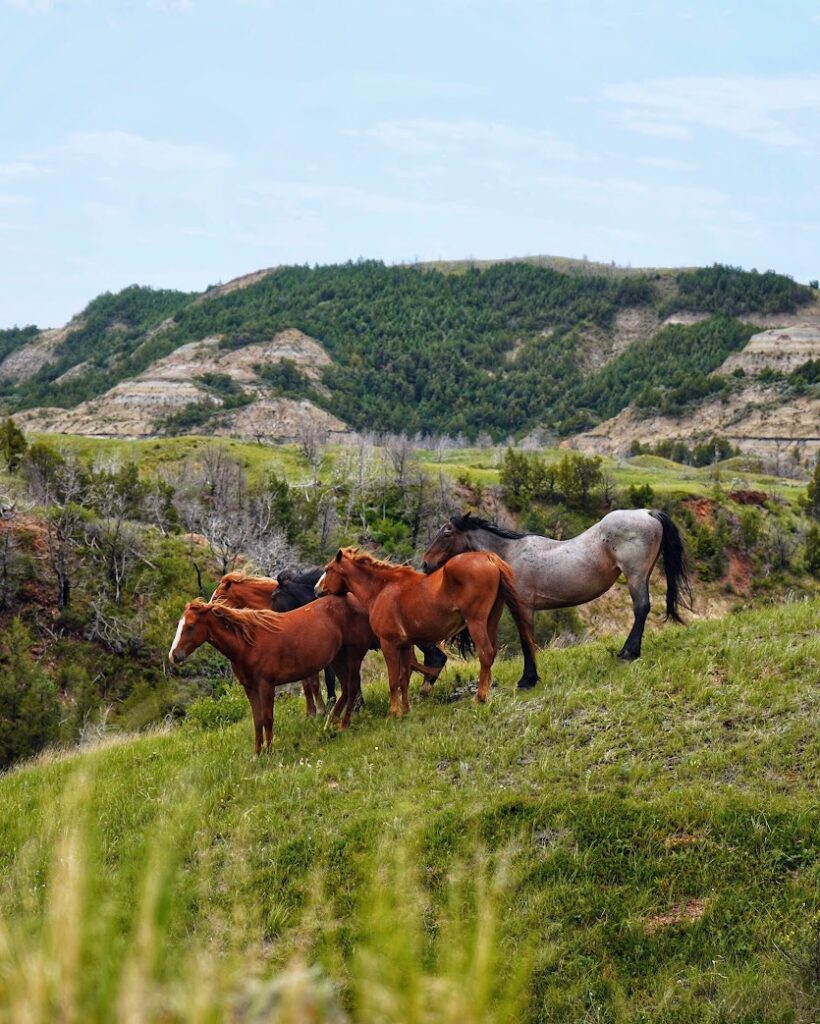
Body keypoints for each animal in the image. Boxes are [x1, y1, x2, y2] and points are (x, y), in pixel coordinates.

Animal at [169, 597, 372, 753]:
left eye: (190, 626)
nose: (174, 655)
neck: (248, 644)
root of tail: (353, 599)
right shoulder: (250, 688)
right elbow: (257, 719)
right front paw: (257, 753)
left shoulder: (266, 685)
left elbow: (267, 718)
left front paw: (269, 751)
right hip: (337, 658)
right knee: (346, 688)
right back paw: (330, 723)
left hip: (353, 655)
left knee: (352, 686)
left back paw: (343, 725)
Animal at [316, 548, 537, 713]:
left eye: (328, 569)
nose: (317, 590)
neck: (382, 589)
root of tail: (488, 557)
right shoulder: (405, 645)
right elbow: (404, 678)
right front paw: (405, 710)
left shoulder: (389, 644)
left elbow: (393, 680)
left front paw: (393, 712)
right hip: (491, 620)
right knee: (491, 654)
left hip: (476, 622)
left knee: (485, 653)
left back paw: (480, 697)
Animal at [421, 510, 691, 685]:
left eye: (447, 533)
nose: (426, 563)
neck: (508, 555)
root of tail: (647, 513)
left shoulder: (523, 607)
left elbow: (526, 640)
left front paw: (528, 679)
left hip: (635, 575)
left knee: (641, 608)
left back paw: (628, 653)